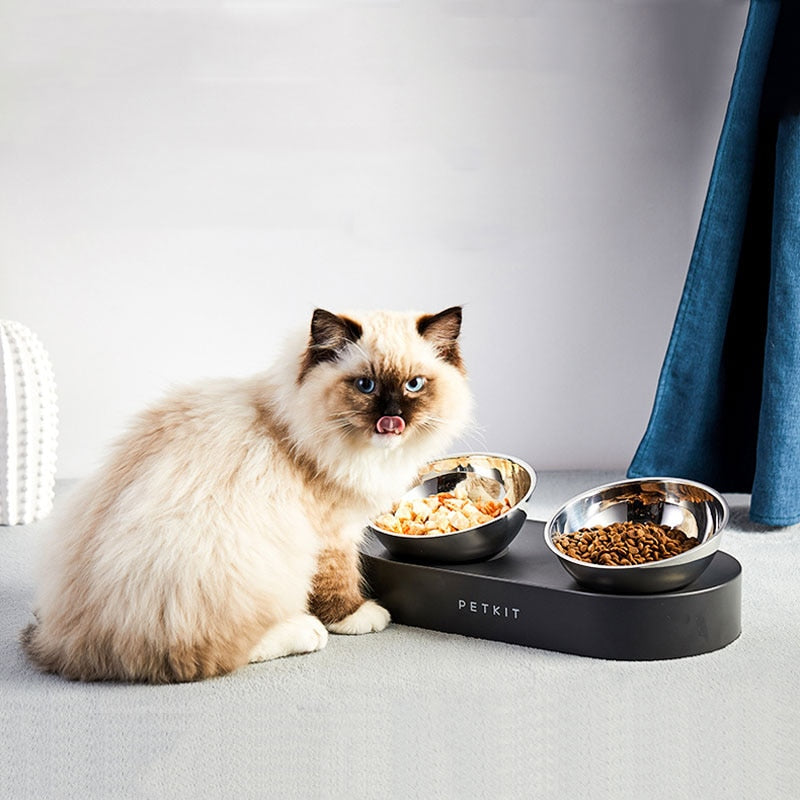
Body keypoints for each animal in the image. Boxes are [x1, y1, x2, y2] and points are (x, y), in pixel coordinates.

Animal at [21, 306, 472, 680]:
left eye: (414, 385)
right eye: (366, 385)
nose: (392, 417)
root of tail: (66, 644)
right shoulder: (331, 533)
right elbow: (338, 580)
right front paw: (356, 616)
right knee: (212, 654)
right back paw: (304, 631)